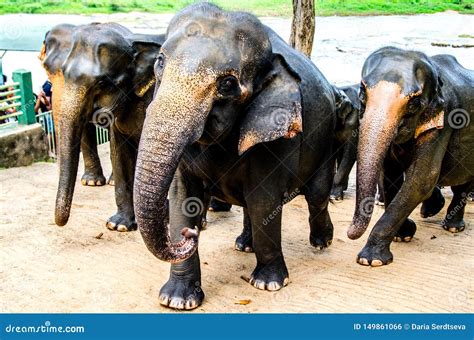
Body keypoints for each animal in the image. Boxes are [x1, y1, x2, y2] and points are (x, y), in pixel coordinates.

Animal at [132, 3, 336, 310]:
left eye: (228, 83)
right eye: (160, 62)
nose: (190, 235)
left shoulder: (276, 134)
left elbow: (264, 199)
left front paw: (268, 283)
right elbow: (182, 197)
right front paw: (177, 299)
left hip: (328, 138)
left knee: (317, 194)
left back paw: (322, 242)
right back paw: (244, 245)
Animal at [346, 46, 472, 266]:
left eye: (413, 103)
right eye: (362, 93)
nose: (348, 233)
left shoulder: (443, 122)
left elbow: (422, 179)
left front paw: (370, 260)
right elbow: (389, 173)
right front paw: (404, 234)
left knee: (462, 184)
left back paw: (453, 227)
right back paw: (431, 211)